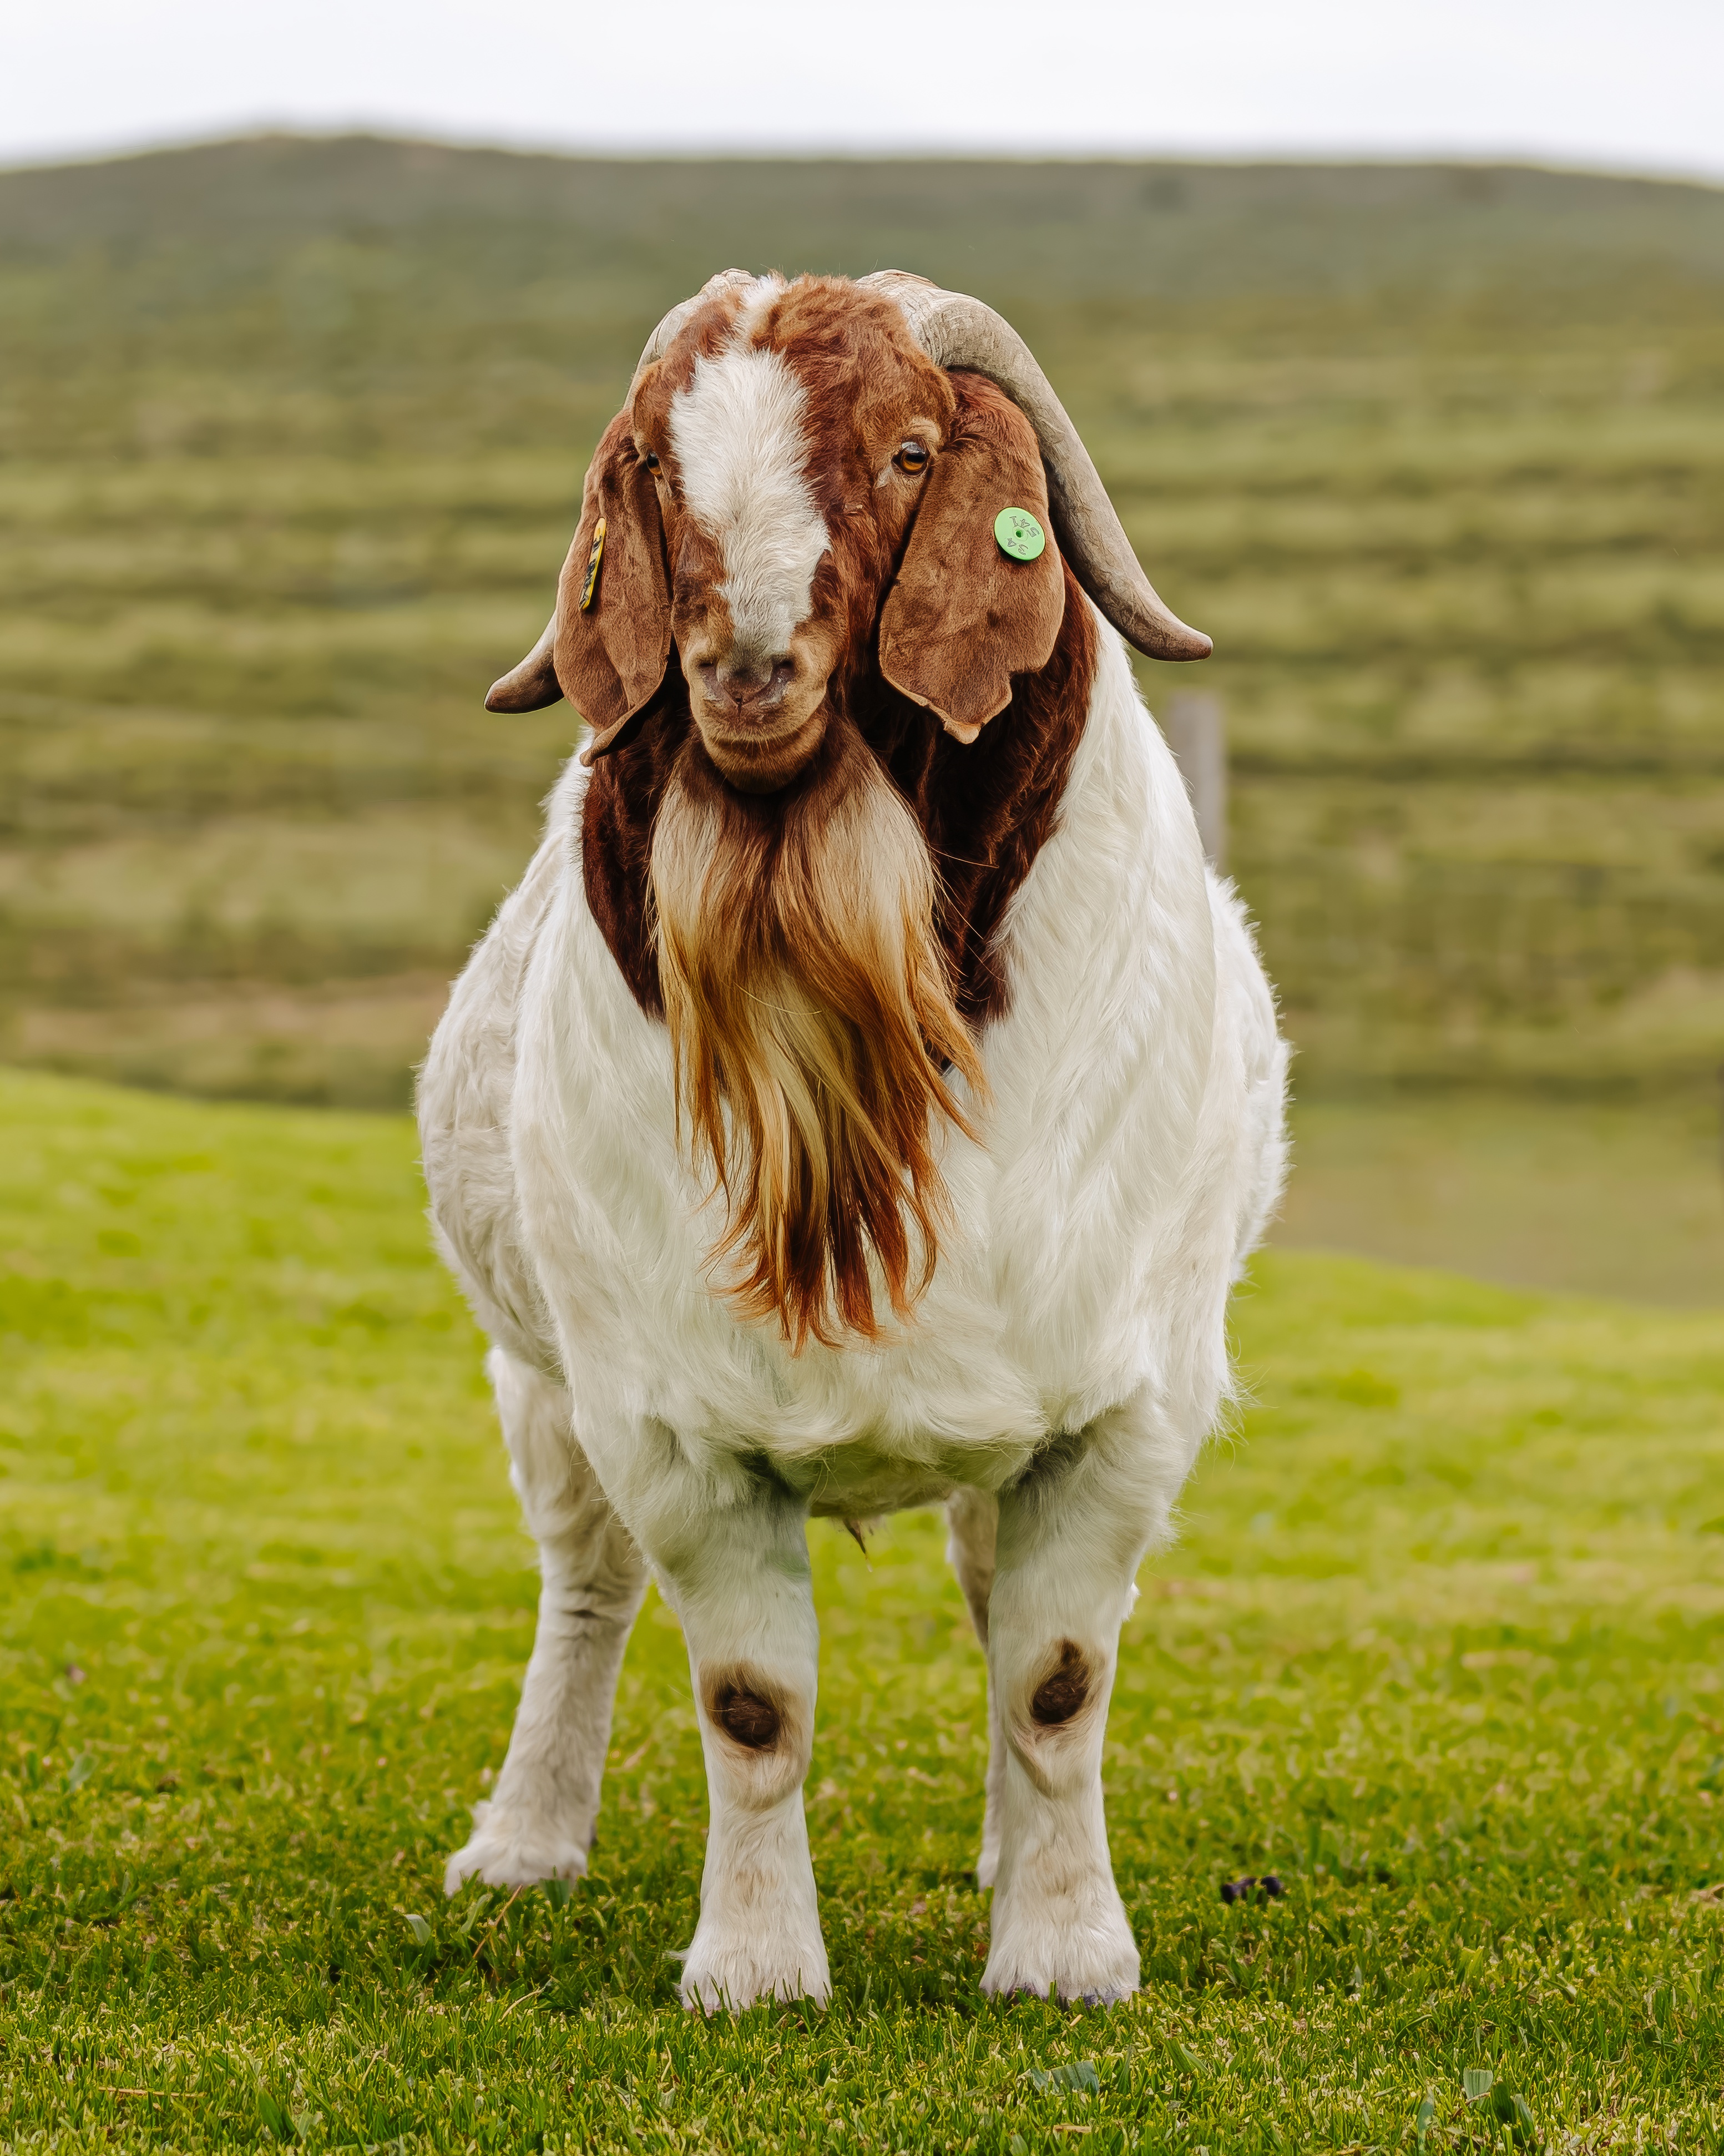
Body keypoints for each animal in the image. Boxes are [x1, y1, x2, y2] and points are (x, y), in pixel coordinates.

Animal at [417, 269, 1288, 2010]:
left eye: (904, 452)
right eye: (656, 465)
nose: (743, 674)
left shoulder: (1124, 1401)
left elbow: (1051, 1679)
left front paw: (1062, 1952)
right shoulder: (664, 1417)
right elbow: (752, 1705)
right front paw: (752, 1968)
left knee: (987, 1599)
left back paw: (1003, 1855)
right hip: (540, 1381)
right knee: (583, 1587)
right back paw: (524, 1843)